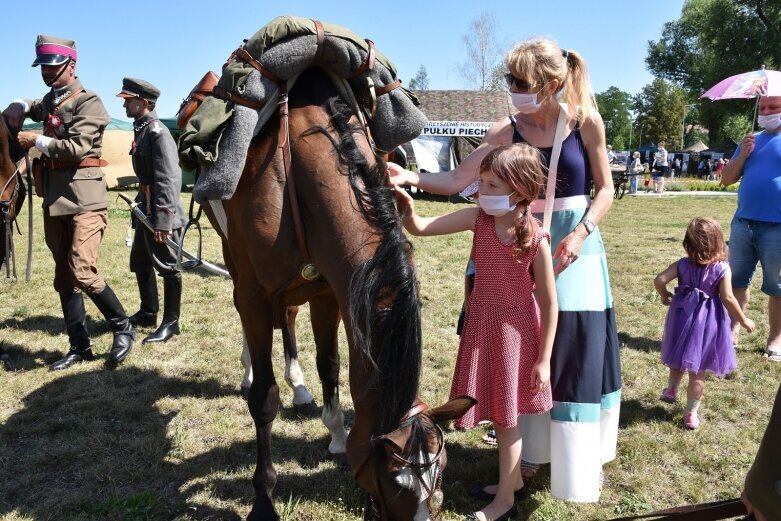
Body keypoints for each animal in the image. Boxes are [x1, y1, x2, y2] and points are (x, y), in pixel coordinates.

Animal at [201, 66, 472, 520]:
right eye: (394, 483)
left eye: (441, 474)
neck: (296, 175)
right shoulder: (256, 291)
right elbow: (264, 400)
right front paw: (263, 500)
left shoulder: (329, 290)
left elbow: (330, 366)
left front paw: (337, 435)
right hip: (234, 262)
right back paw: (250, 368)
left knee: (289, 319)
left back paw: (300, 387)